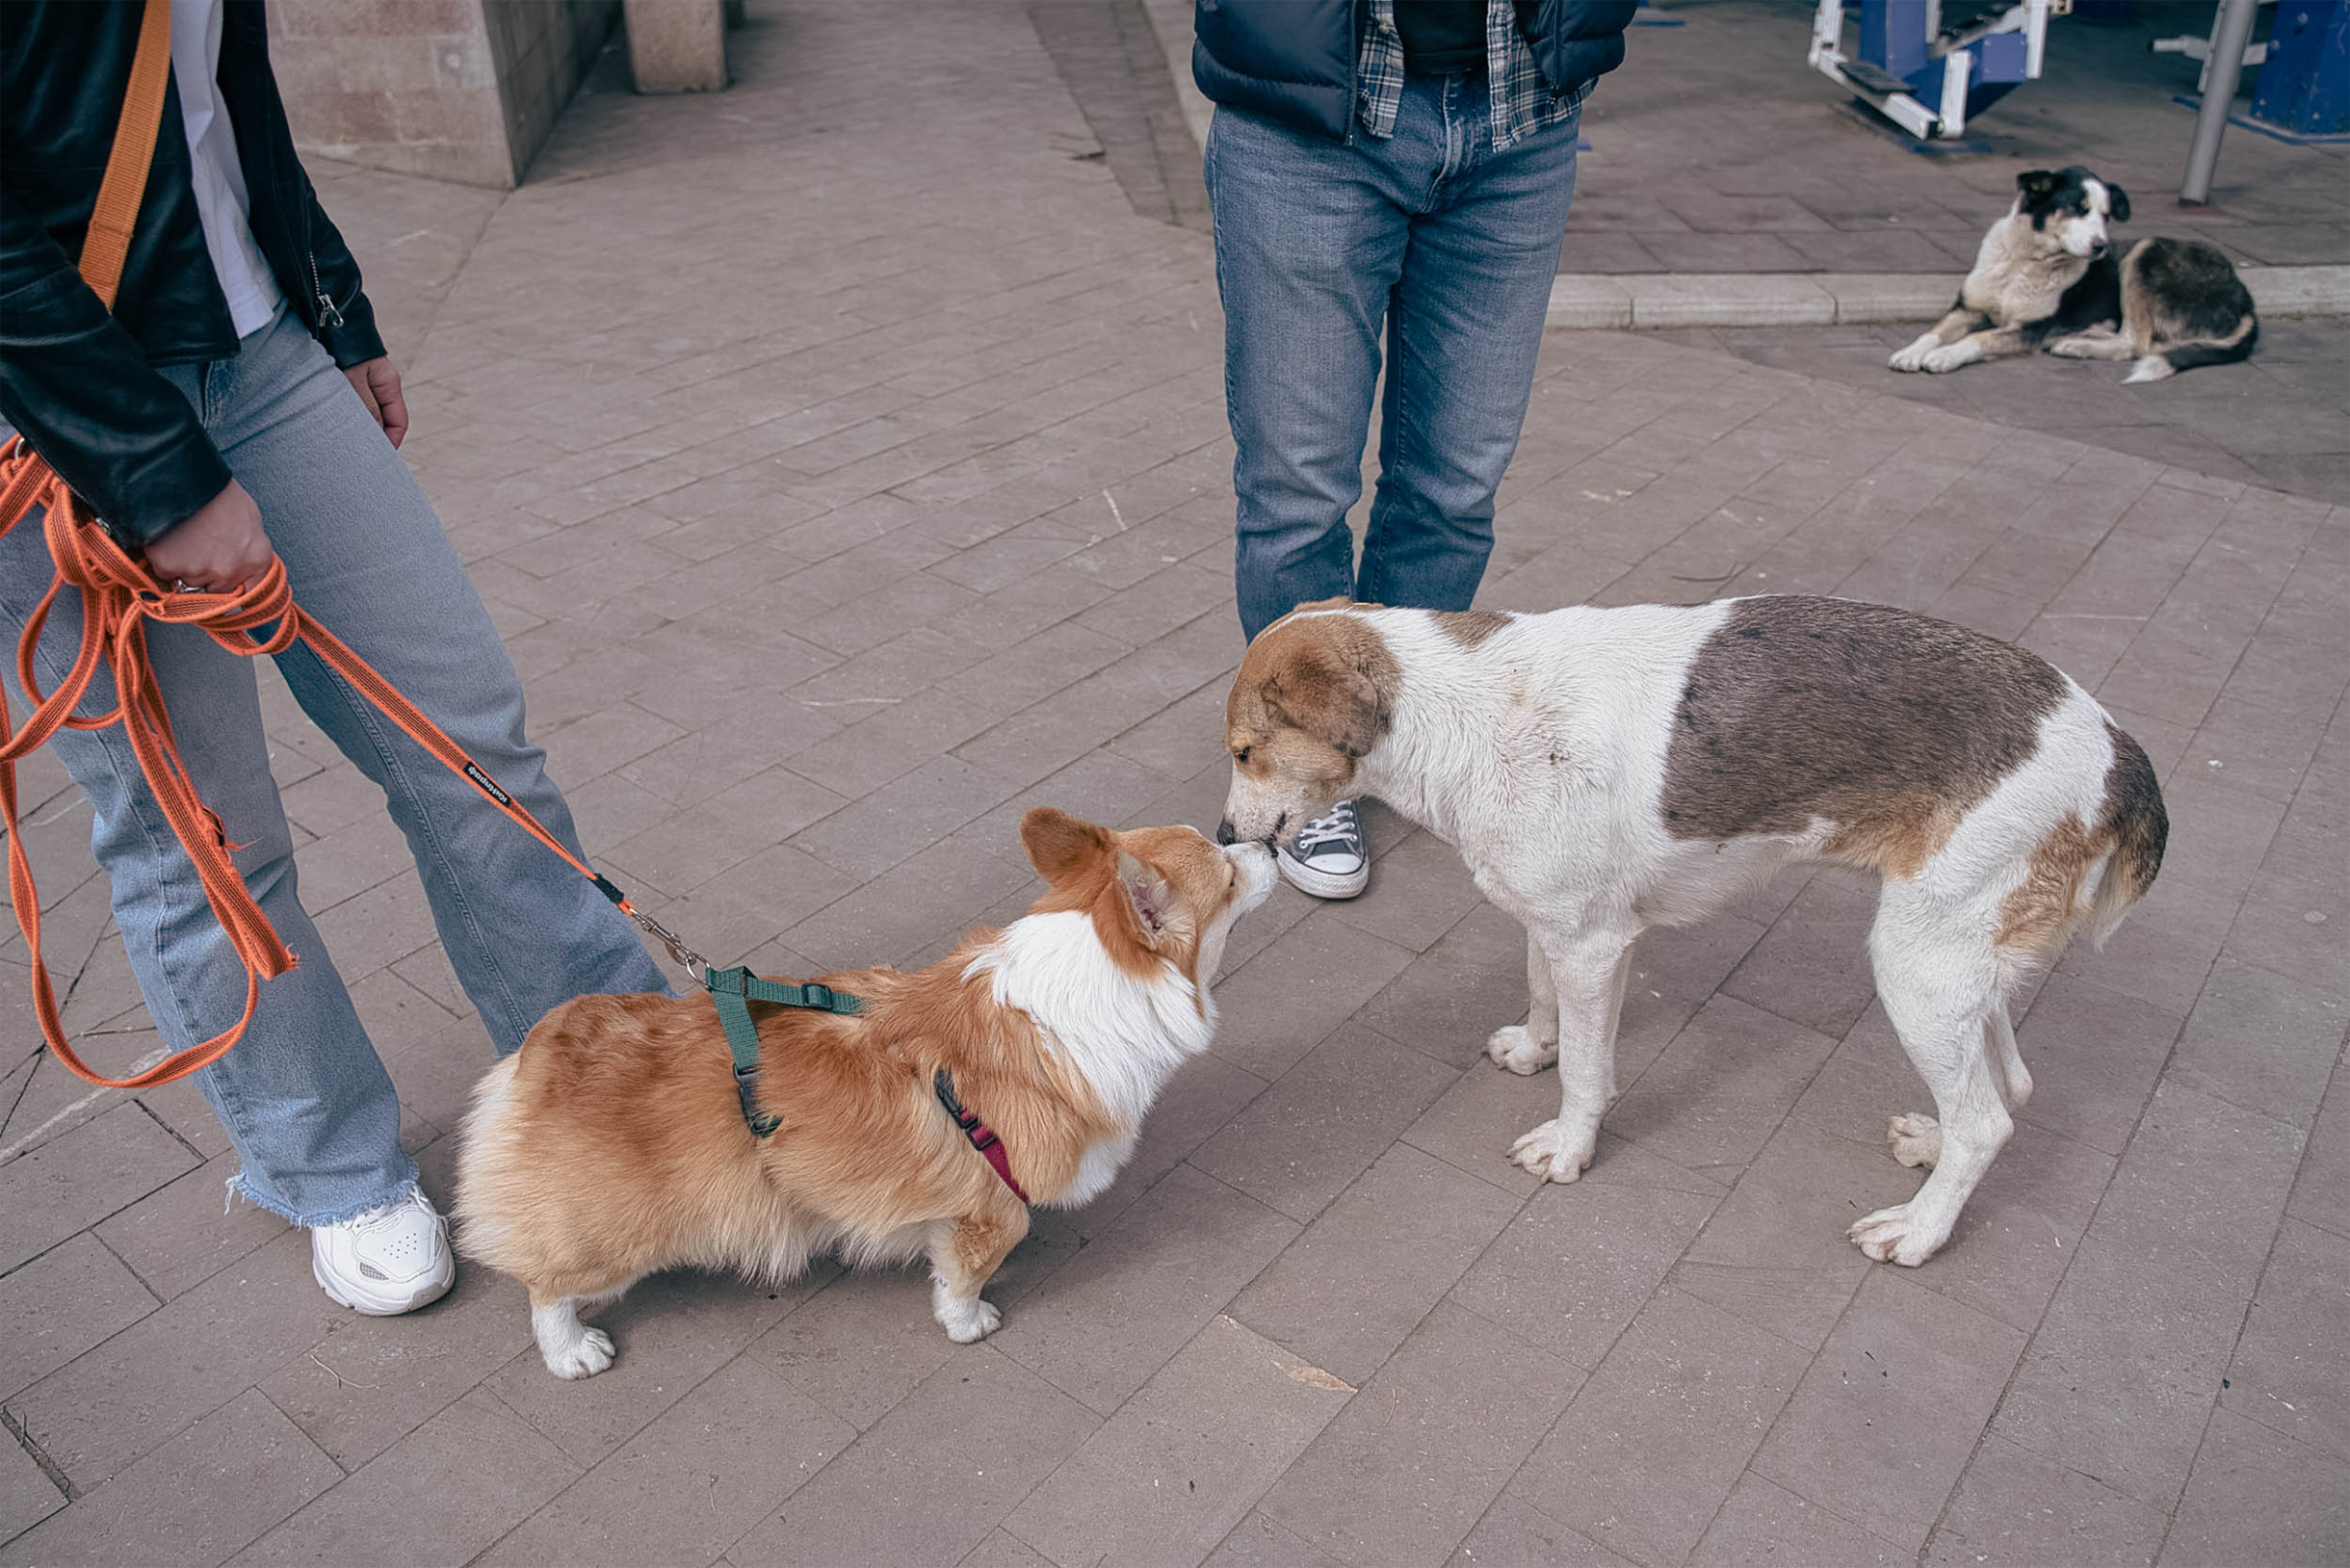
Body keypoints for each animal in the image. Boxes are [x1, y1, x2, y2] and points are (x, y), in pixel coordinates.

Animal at [449, 818, 1278, 1382]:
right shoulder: (992, 1206)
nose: (1266, 842)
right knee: (546, 1288)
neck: (1082, 995)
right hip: (615, 1238)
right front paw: (969, 1324)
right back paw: (574, 1352)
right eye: (1227, 878)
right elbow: (966, 1277)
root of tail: (541, 1052)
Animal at [1231, 594, 2161, 1269]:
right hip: (1964, 964)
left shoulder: (1594, 945)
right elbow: (1541, 995)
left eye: (1241, 751)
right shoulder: (1558, 923)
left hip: (1917, 966)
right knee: (2011, 1087)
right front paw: (1535, 1049)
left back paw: (1919, 1231)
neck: (1462, 711)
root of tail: (2121, 750)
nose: (1227, 833)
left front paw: (1570, 1148)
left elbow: (1588, 1073)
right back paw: (1930, 1147)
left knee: (1987, 1124)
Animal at [1889, 164, 2256, 385]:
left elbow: (1977, 339)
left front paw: (1945, 355)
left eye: (2106, 216)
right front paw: (1911, 351)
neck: (2024, 261)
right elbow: (1933, 332)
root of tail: (2245, 297)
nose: (2101, 247)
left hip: (2145, 251)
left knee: (2136, 343)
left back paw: (2078, 345)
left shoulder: (2031, 329)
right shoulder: (1967, 308)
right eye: (2078, 209)